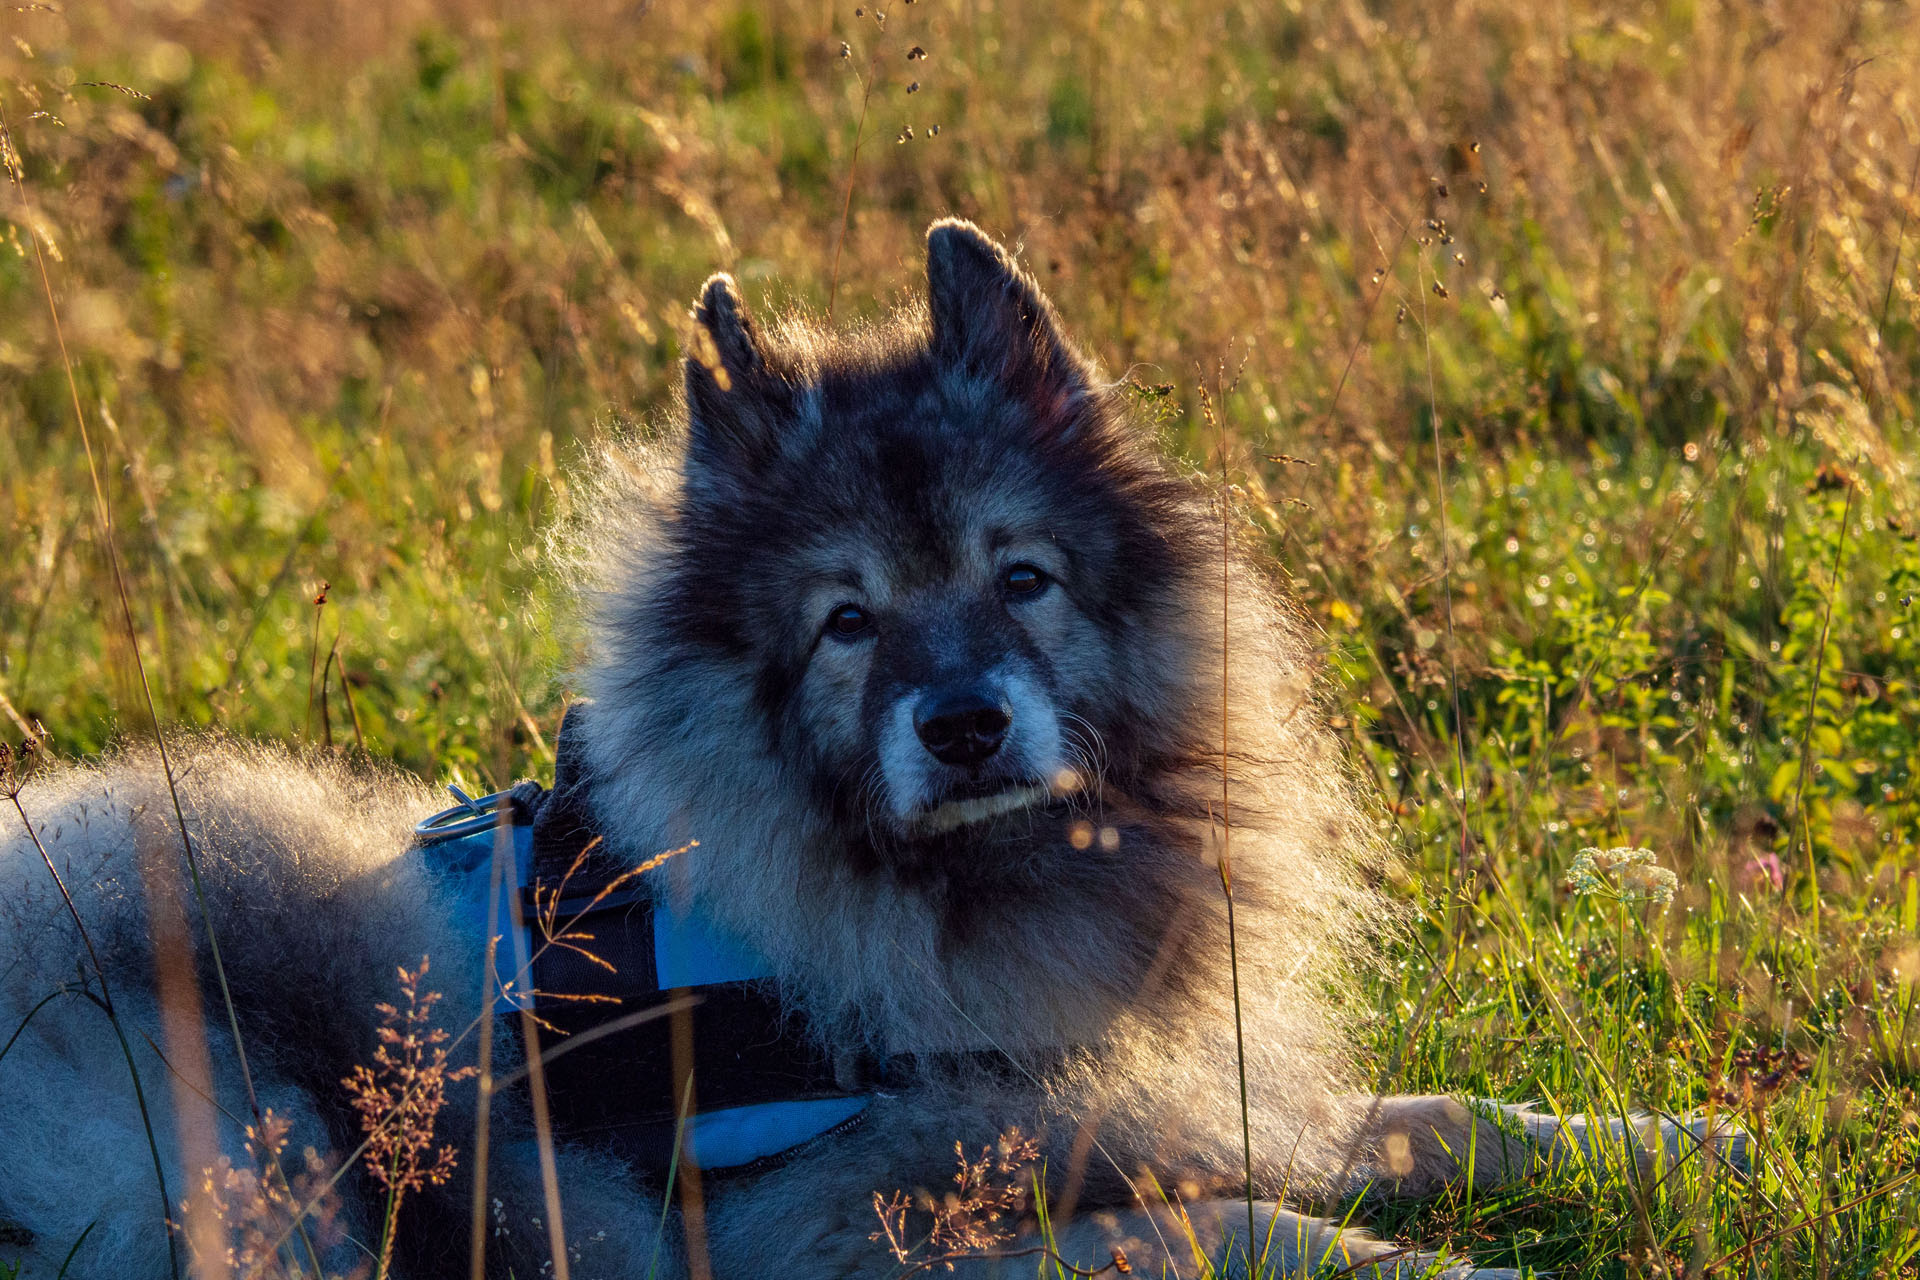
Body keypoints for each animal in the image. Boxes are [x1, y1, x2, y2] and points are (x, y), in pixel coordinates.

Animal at [0, 222, 1735, 1280]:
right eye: (846, 622)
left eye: (1020, 577)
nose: (963, 723)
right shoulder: (833, 1222)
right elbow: (1240, 1229)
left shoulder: (1165, 1093)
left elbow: (1442, 1121)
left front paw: (1669, 1146)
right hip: (253, 1107)